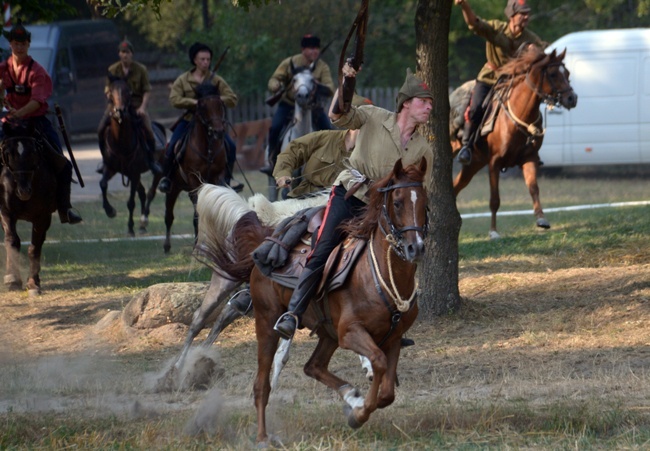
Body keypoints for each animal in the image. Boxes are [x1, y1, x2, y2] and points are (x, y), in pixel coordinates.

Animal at [0, 129, 58, 294]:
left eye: (33, 152)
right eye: (9, 154)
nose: (24, 191)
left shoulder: (43, 217)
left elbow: (35, 246)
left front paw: (33, 283)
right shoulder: (6, 212)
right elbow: (12, 240)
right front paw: (12, 279)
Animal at [99, 77, 165, 237]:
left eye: (128, 92)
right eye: (111, 92)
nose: (119, 111)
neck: (121, 142)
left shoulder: (134, 173)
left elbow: (130, 202)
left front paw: (130, 228)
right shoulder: (110, 167)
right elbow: (103, 184)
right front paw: (110, 211)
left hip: (157, 170)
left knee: (151, 192)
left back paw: (144, 219)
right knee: (142, 192)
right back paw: (142, 226)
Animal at [160, 84, 228, 254]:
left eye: (220, 104)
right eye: (202, 106)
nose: (218, 131)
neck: (207, 148)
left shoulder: (217, 177)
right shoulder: (193, 179)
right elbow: (197, 213)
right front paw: (198, 247)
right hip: (173, 188)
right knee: (169, 216)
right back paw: (167, 245)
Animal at [210, 158, 428, 444]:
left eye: (425, 202)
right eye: (398, 202)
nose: (416, 248)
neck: (375, 273)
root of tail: (265, 242)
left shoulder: (392, 338)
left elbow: (387, 393)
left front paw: (357, 406)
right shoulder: (350, 332)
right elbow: (378, 363)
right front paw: (359, 414)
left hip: (327, 334)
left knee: (313, 366)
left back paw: (350, 395)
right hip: (268, 322)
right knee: (262, 384)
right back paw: (263, 437)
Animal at [448, 47, 576, 240]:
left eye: (567, 73)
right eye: (553, 74)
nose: (572, 98)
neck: (520, 113)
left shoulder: (529, 159)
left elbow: (533, 188)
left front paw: (541, 219)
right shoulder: (494, 163)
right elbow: (494, 200)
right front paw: (493, 231)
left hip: (474, 163)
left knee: (457, 186)